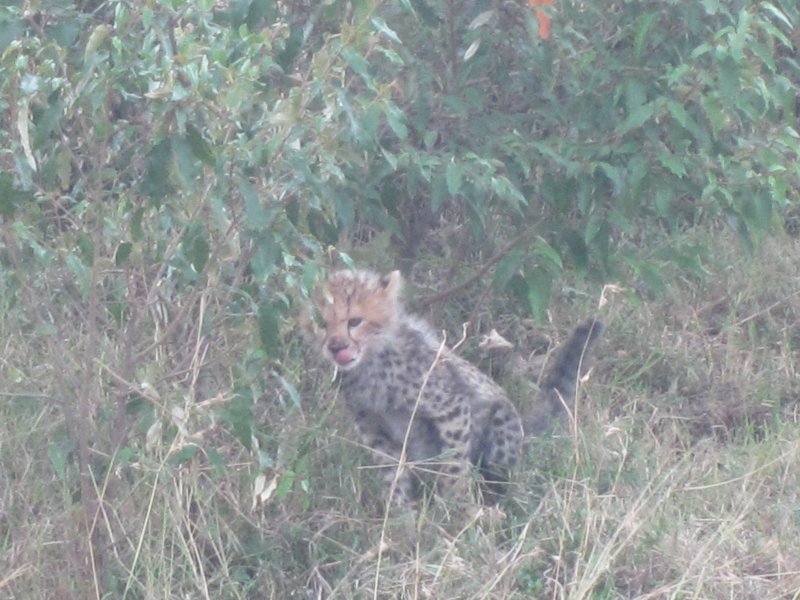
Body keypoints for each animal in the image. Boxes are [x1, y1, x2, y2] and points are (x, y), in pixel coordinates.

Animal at [308, 268, 602, 509]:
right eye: (322, 324)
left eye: (354, 321)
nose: (335, 347)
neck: (370, 360)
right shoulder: (374, 429)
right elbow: (392, 473)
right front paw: (400, 518)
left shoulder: (451, 407)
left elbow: (453, 463)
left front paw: (459, 509)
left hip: (500, 427)